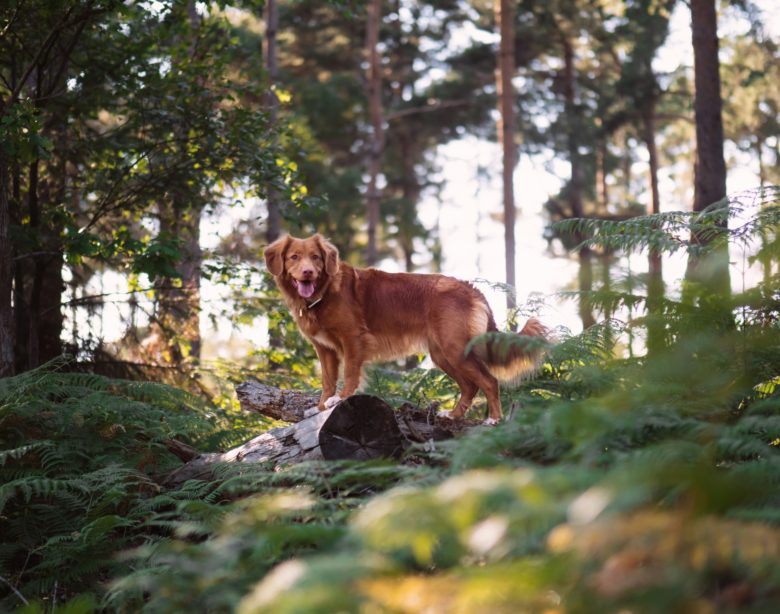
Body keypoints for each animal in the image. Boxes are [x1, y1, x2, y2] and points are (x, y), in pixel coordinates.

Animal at [266, 235, 548, 424]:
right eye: (294, 257)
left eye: (315, 257)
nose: (307, 272)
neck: (323, 294)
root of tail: (471, 288)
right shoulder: (324, 349)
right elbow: (327, 380)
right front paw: (322, 405)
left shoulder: (353, 339)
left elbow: (350, 374)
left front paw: (342, 398)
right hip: (442, 355)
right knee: (470, 386)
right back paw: (453, 415)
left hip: (455, 349)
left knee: (489, 381)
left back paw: (494, 420)